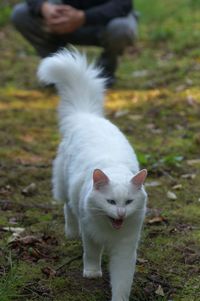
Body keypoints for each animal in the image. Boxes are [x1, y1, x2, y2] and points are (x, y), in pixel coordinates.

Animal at [38, 49, 147, 300]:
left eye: (128, 202)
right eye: (110, 201)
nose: (120, 213)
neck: (110, 230)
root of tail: (86, 116)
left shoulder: (125, 248)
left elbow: (122, 281)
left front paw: (119, 297)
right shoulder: (91, 234)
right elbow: (91, 254)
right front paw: (92, 273)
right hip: (64, 187)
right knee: (67, 208)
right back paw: (71, 232)